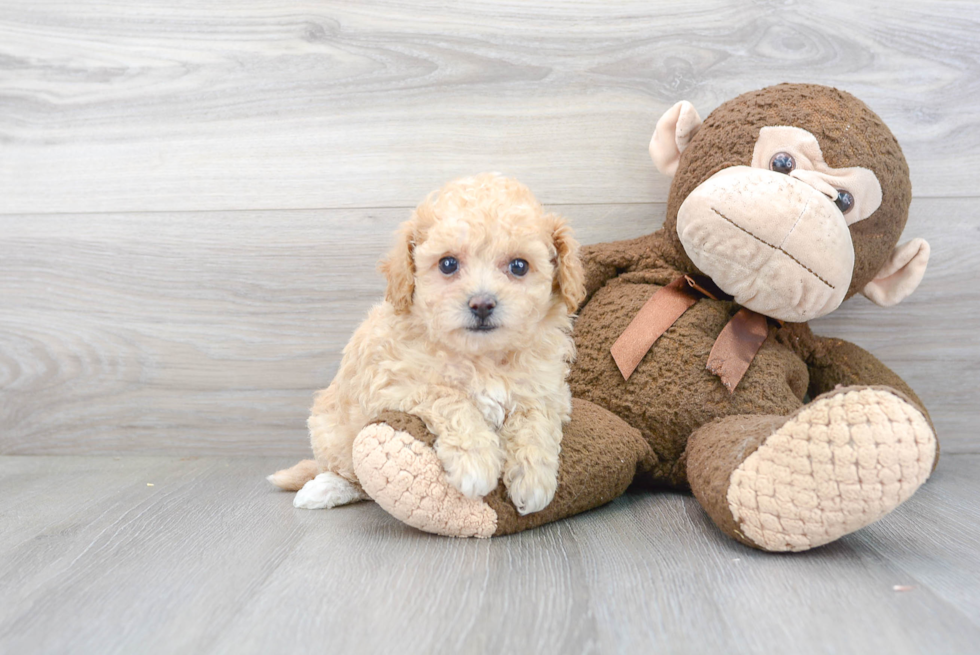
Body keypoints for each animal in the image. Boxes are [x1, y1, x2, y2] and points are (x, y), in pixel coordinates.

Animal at [268, 174, 584, 516]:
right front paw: (475, 461)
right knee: (352, 477)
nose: (482, 304)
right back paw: (323, 489)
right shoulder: (394, 383)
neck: (483, 357)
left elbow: (536, 421)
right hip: (331, 431)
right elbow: (450, 398)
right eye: (447, 264)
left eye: (519, 266)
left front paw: (534, 480)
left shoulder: (547, 390)